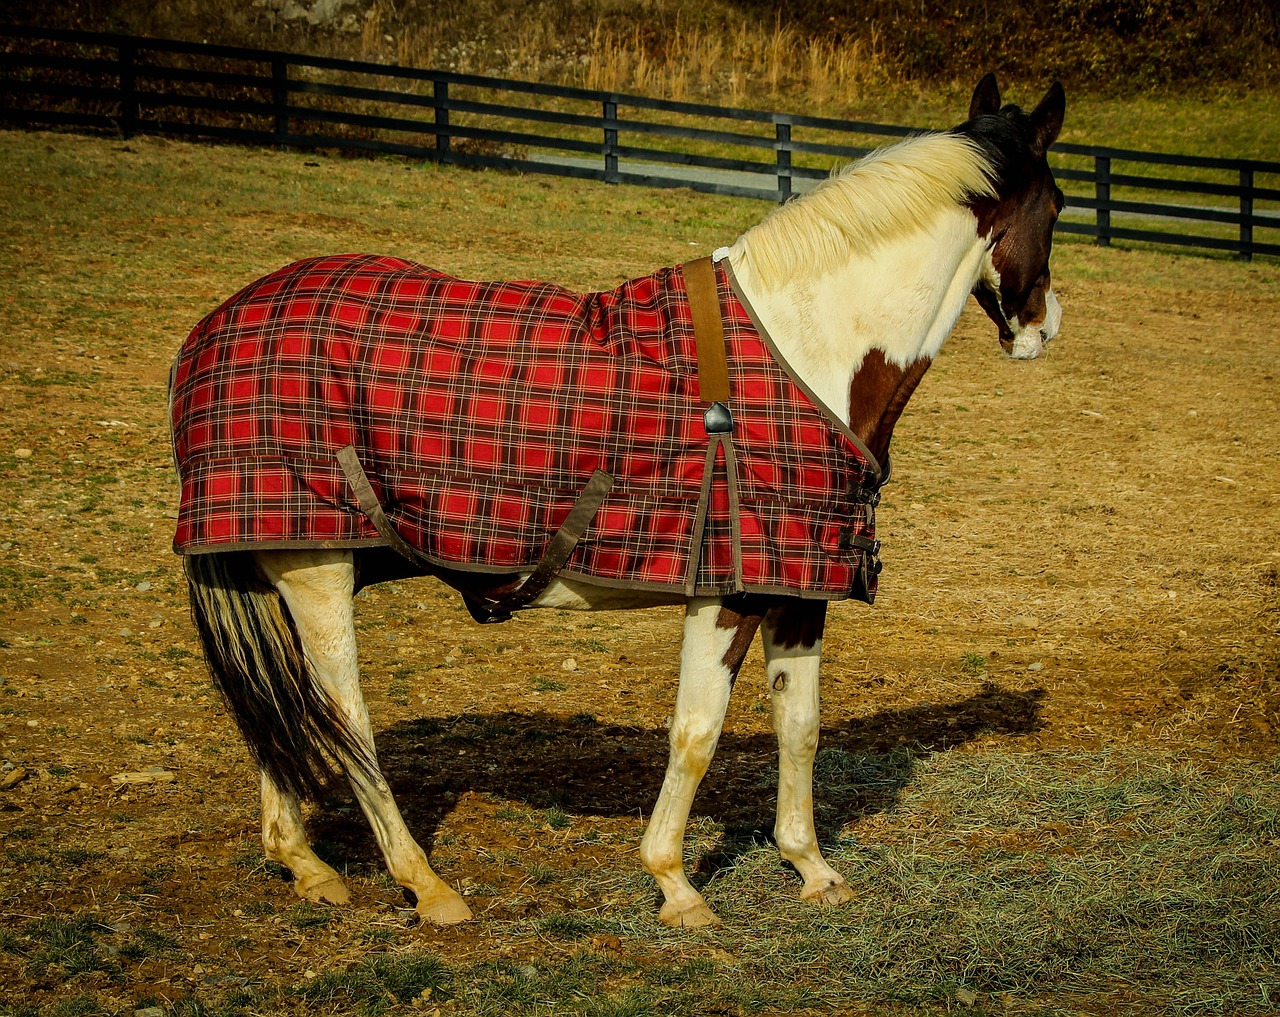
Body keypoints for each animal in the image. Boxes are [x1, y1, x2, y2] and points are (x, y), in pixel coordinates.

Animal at [172, 74, 1065, 929]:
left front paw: (810, 868)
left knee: (276, 708)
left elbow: (800, 726)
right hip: (315, 569)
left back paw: (306, 865)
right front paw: (675, 884)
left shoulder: (799, 589)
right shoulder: (730, 591)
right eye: (1057, 209)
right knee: (342, 718)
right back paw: (425, 884)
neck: (806, 348)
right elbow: (697, 734)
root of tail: (213, 327)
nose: (1042, 326)